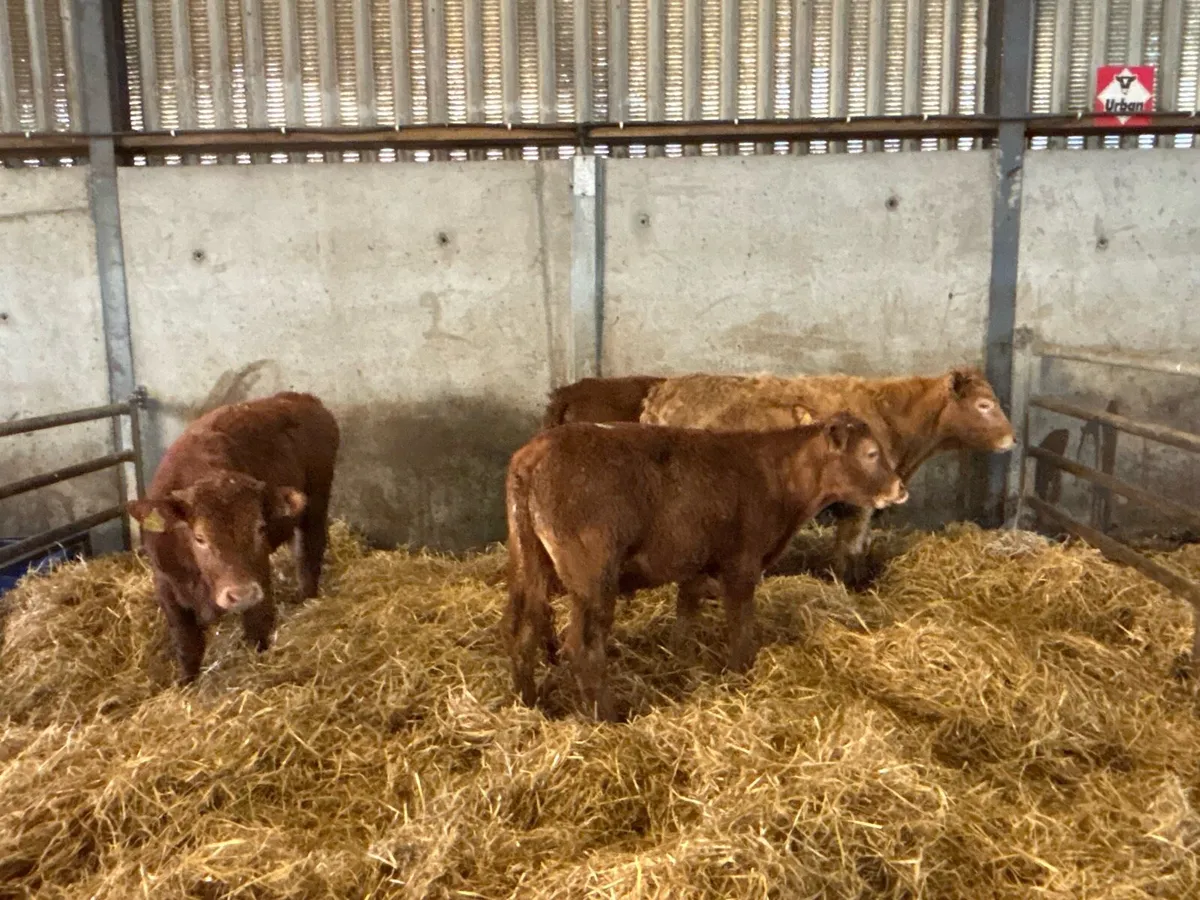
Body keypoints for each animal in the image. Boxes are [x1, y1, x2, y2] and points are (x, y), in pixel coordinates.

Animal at [126, 392, 340, 684]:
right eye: (200, 537)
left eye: (260, 528)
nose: (241, 594)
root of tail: (299, 397)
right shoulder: (166, 585)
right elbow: (187, 643)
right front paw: (186, 682)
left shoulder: (259, 575)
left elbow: (257, 627)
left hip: (317, 503)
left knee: (310, 551)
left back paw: (307, 597)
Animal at [504, 413, 908, 721]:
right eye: (871, 453)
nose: (900, 488)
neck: (772, 474)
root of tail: (534, 454)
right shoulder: (742, 564)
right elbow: (741, 625)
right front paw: (740, 673)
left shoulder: (694, 563)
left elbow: (686, 614)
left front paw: (681, 658)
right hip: (593, 576)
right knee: (584, 646)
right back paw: (607, 717)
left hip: (530, 563)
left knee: (524, 630)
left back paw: (530, 706)